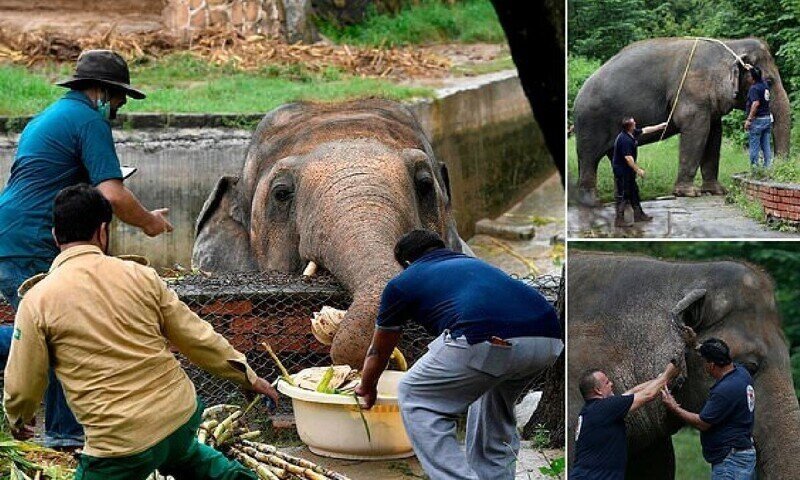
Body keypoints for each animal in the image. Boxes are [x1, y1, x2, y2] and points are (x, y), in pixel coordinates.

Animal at [572, 37, 792, 206]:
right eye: (769, 81)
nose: (776, 169)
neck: (731, 45)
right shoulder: (691, 94)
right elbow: (697, 132)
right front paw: (689, 193)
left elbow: (714, 136)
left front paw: (717, 191)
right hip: (591, 122)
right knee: (589, 158)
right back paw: (592, 202)